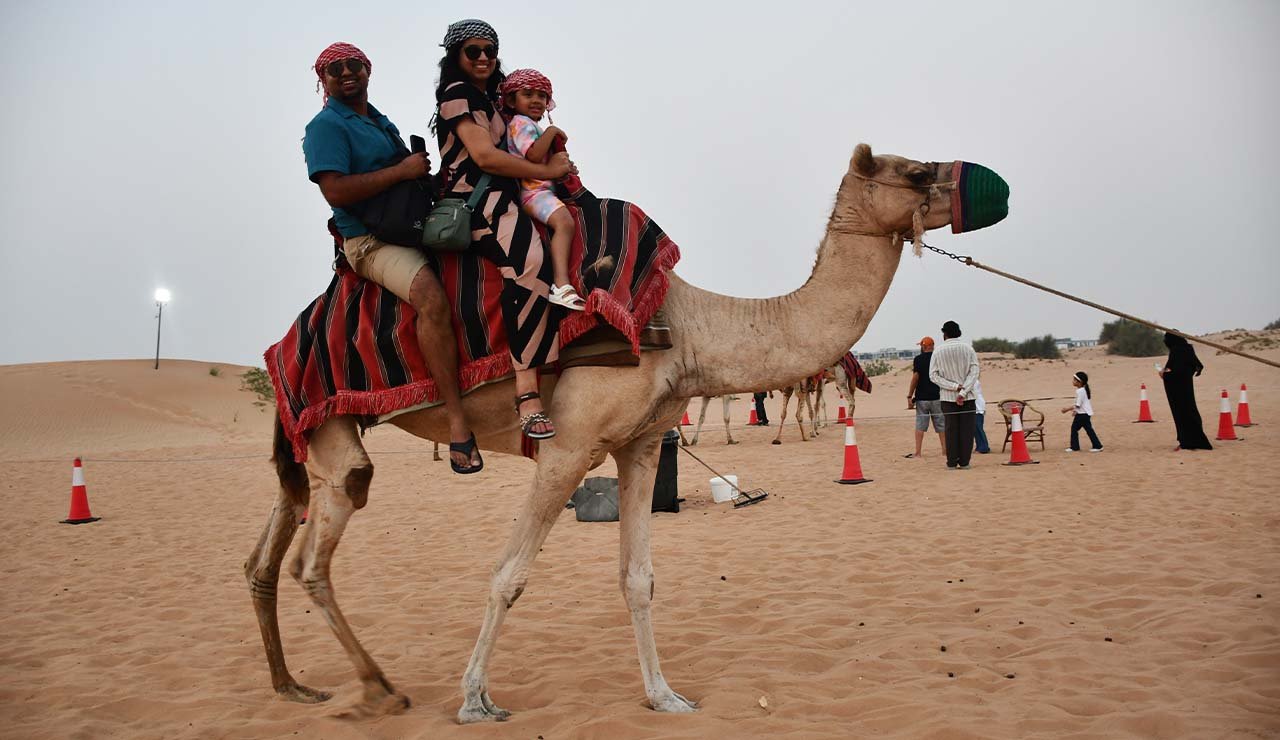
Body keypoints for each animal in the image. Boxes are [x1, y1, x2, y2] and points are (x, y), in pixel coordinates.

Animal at [244, 143, 1007, 722]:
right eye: (917, 172)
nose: (993, 186)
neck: (687, 325)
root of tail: (283, 344)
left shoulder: (640, 445)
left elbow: (638, 578)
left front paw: (665, 696)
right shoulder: (568, 445)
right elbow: (509, 575)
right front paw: (474, 701)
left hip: (305, 433)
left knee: (269, 549)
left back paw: (293, 685)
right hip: (332, 423)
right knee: (315, 554)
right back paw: (378, 689)